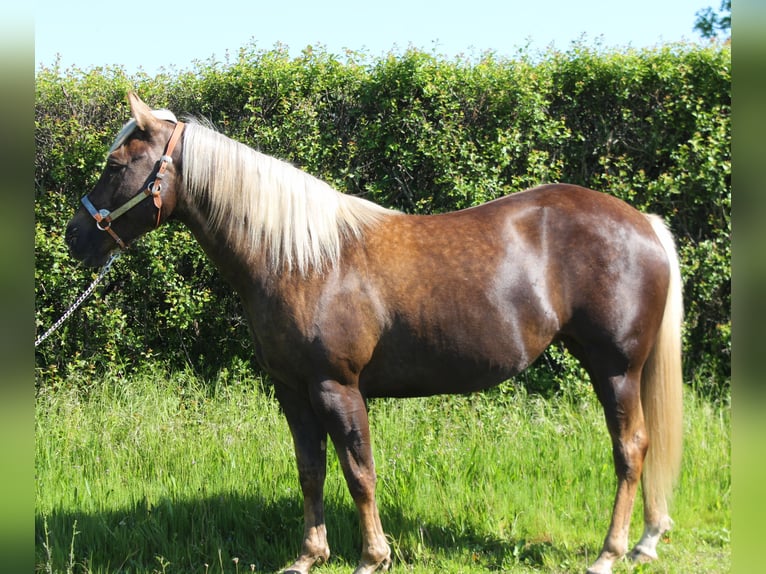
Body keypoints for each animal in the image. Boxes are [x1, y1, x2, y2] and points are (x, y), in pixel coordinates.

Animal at [65, 93, 683, 574]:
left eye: (116, 164)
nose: (75, 237)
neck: (302, 260)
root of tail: (644, 223)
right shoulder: (292, 390)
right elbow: (311, 470)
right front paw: (309, 555)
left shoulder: (337, 387)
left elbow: (358, 471)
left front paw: (372, 556)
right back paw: (646, 542)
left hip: (615, 367)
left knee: (631, 448)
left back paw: (611, 552)